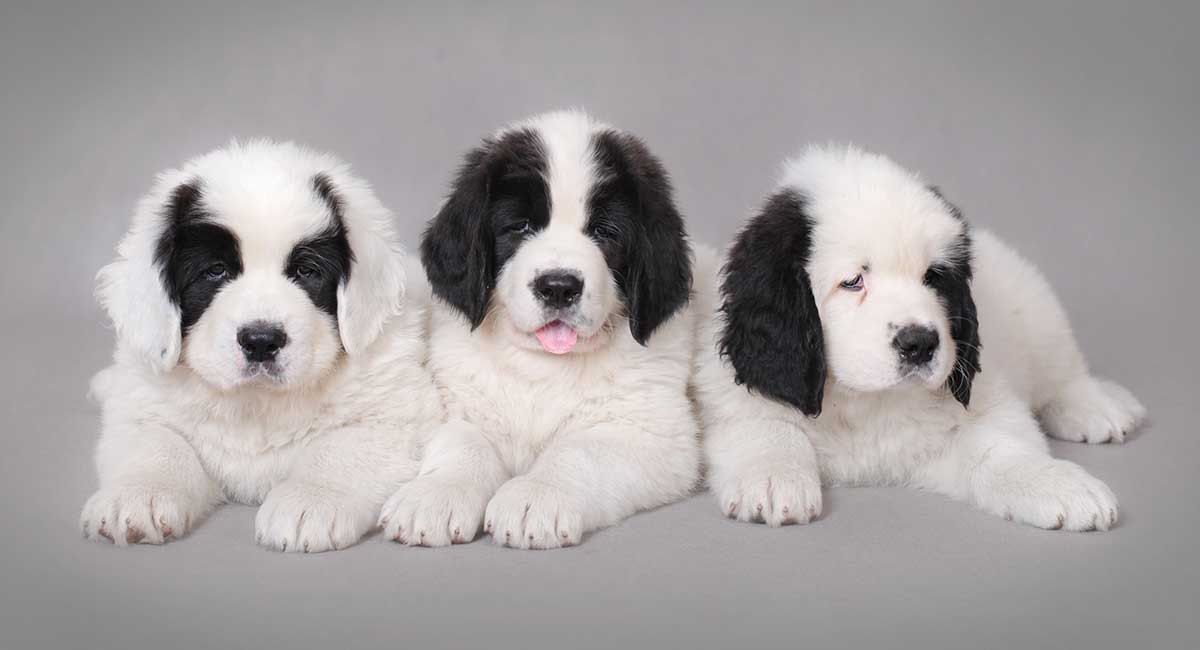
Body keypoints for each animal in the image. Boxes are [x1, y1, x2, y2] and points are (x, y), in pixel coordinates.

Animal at [83, 140, 446, 554]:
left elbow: (341, 448)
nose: (261, 341)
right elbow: (156, 441)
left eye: (306, 271)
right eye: (215, 271)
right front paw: (138, 496)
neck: (257, 404)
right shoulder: (142, 402)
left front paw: (309, 501)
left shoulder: (395, 412)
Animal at [379, 112, 700, 551]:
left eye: (605, 232)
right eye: (520, 226)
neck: (543, 369)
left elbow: (579, 450)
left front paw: (536, 497)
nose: (559, 287)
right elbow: (464, 443)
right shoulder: (459, 401)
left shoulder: (653, 433)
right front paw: (434, 496)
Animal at [691, 149, 1147, 534]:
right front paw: (774, 477)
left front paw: (1058, 484)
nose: (920, 344)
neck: (864, 402)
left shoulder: (981, 402)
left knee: (1062, 374)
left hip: (1036, 311)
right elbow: (765, 425)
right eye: (853, 281)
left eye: (933, 276)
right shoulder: (738, 389)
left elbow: (1003, 450)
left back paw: (1099, 408)